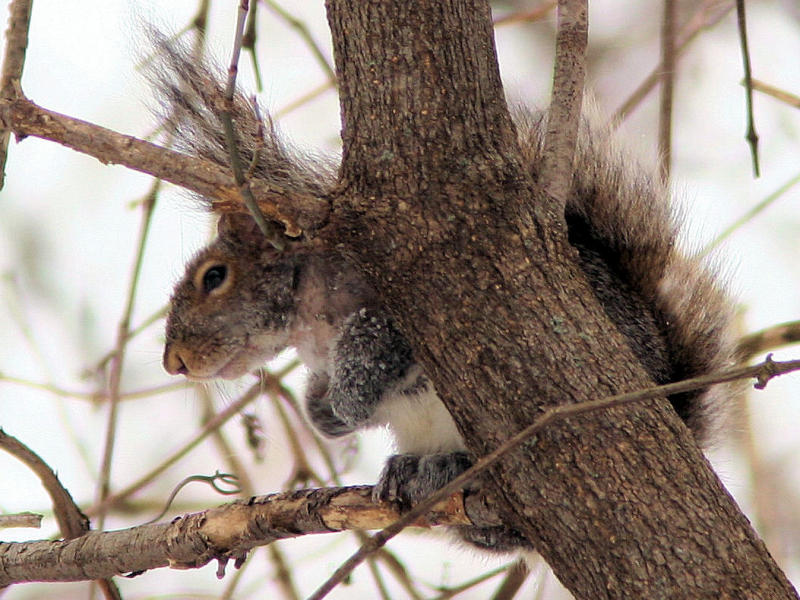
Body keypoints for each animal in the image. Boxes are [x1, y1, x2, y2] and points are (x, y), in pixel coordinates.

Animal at [153, 39, 736, 552]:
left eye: (213, 277)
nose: (173, 362)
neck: (307, 317)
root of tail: (675, 415)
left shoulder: (395, 306)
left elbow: (373, 346)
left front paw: (346, 402)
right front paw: (323, 412)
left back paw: (450, 468)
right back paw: (408, 469)